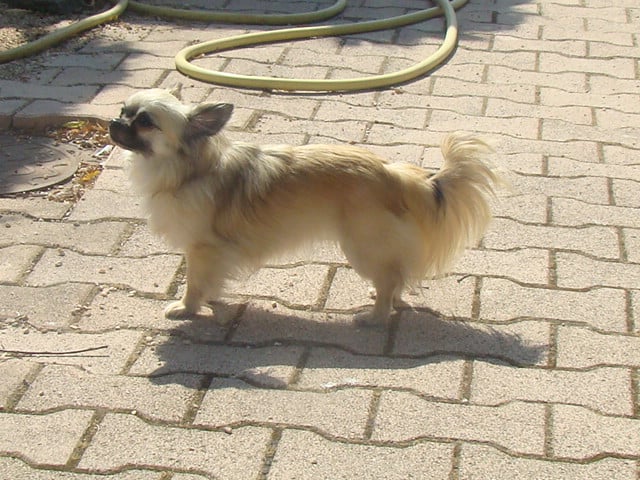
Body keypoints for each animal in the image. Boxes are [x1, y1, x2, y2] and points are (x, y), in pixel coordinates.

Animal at [109, 88, 502, 326]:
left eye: (144, 122)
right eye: (123, 110)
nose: (113, 122)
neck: (189, 170)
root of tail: (395, 175)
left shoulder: (201, 249)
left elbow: (194, 282)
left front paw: (186, 308)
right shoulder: (214, 254)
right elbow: (211, 281)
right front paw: (210, 299)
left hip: (360, 246)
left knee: (390, 277)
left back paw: (376, 316)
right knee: (396, 274)